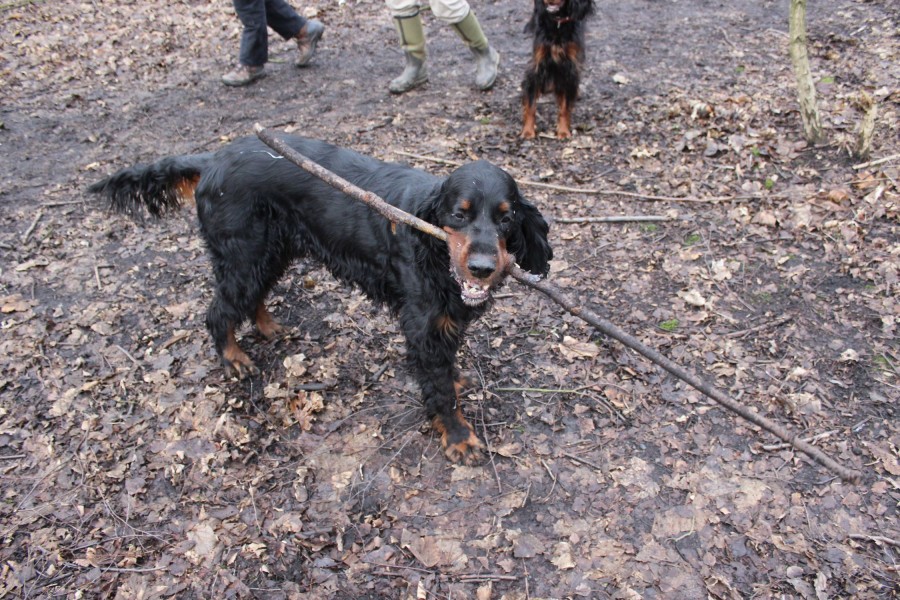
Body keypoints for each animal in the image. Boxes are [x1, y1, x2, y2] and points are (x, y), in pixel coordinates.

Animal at [89, 135, 553, 465]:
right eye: (460, 213)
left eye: (507, 217)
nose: (482, 267)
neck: (432, 244)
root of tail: (213, 159)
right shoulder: (423, 324)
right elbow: (438, 389)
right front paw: (458, 436)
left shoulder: (445, 320)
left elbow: (445, 368)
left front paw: (454, 382)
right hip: (244, 254)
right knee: (218, 312)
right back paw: (232, 358)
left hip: (270, 251)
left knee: (251, 298)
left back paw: (268, 327)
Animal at [521, 0, 594, 139]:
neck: (558, 24)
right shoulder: (537, 65)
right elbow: (531, 104)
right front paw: (528, 131)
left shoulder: (569, 69)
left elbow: (565, 106)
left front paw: (563, 131)